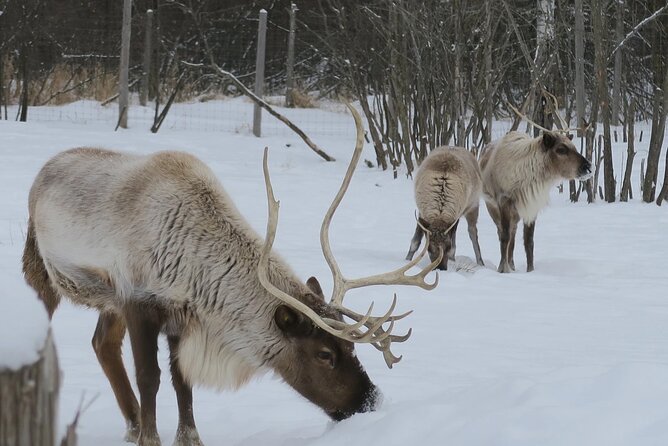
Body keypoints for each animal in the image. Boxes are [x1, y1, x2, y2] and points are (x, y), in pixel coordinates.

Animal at [22, 105, 441, 446]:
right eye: (324, 354)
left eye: (351, 348)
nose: (371, 401)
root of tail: (43, 171)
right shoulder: (138, 301)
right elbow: (150, 376)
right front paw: (151, 438)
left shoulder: (181, 317)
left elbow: (182, 380)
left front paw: (187, 437)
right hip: (42, 270)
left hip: (107, 301)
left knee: (102, 344)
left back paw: (132, 422)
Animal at [479, 130, 592, 273]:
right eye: (561, 149)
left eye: (575, 148)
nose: (588, 167)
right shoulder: (504, 201)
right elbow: (504, 237)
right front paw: (503, 269)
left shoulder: (531, 207)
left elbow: (529, 241)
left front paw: (530, 270)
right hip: (492, 207)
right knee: (503, 233)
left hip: (515, 214)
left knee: (513, 234)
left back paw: (512, 264)